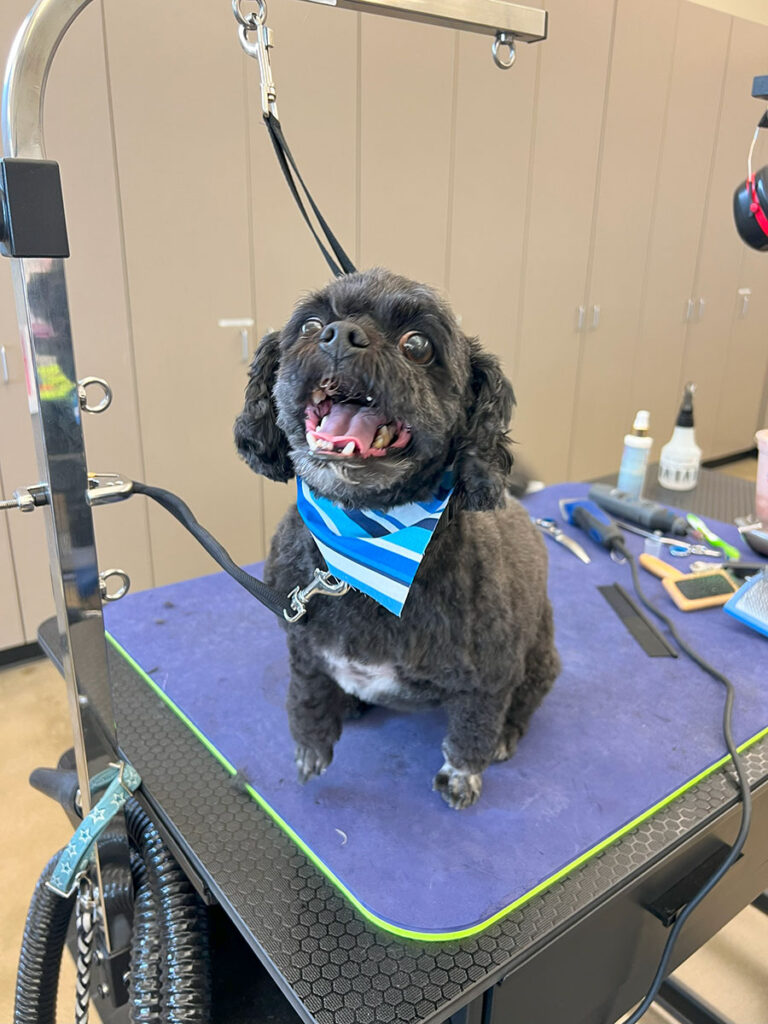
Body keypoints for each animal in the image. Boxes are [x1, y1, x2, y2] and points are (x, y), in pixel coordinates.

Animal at [234, 270, 561, 806]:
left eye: (418, 345)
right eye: (311, 324)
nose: (341, 336)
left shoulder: (490, 678)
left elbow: (471, 729)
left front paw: (461, 774)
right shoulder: (302, 646)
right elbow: (306, 696)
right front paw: (312, 744)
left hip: (539, 659)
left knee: (523, 703)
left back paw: (507, 737)